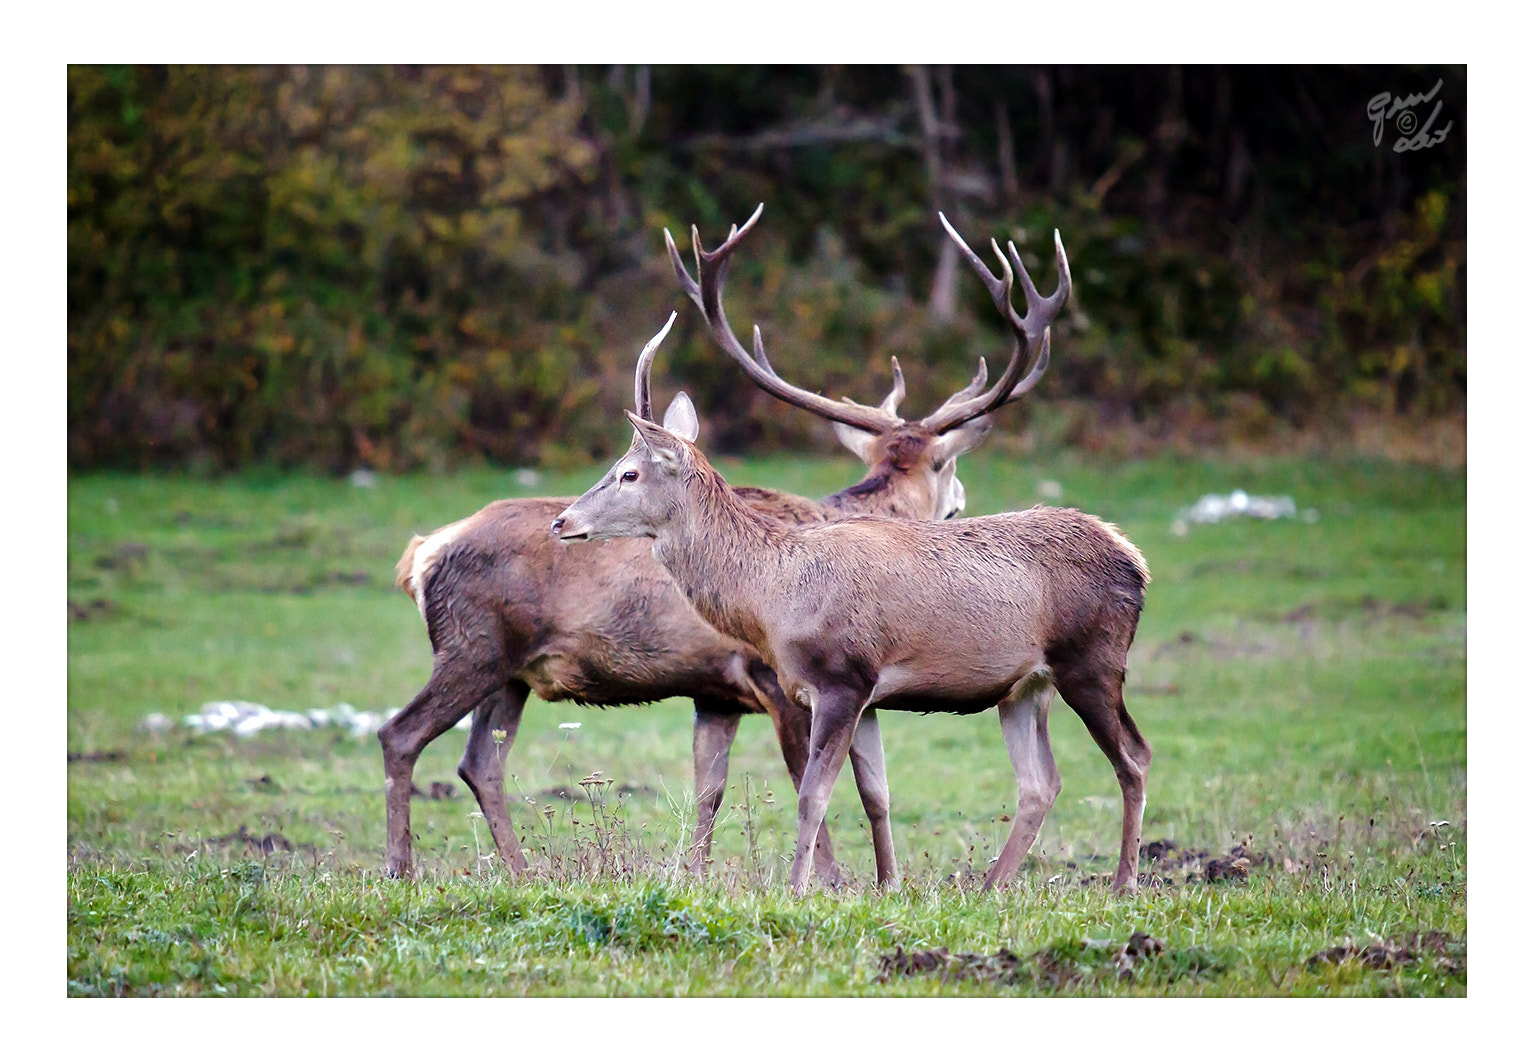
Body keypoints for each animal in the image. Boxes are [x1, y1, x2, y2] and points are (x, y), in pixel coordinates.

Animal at [377, 205, 1037, 877]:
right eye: (946, 466)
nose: (960, 505)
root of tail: (422, 552)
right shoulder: (774, 678)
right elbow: (809, 786)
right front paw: (830, 882)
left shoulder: (717, 693)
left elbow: (716, 790)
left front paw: (696, 873)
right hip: (472, 645)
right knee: (400, 734)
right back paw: (401, 866)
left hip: (511, 670)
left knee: (480, 760)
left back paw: (521, 868)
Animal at [552, 216, 1154, 895]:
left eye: (628, 473)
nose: (562, 520)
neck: (772, 594)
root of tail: (1134, 558)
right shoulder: (856, 693)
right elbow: (875, 794)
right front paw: (887, 885)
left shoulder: (842, 677)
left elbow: (812, 795)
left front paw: (797, 889)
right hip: (1025, 684)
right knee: (1040, 782)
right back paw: (990, 887)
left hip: (1092, 658)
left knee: (1134, 758)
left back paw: (1124, 882)